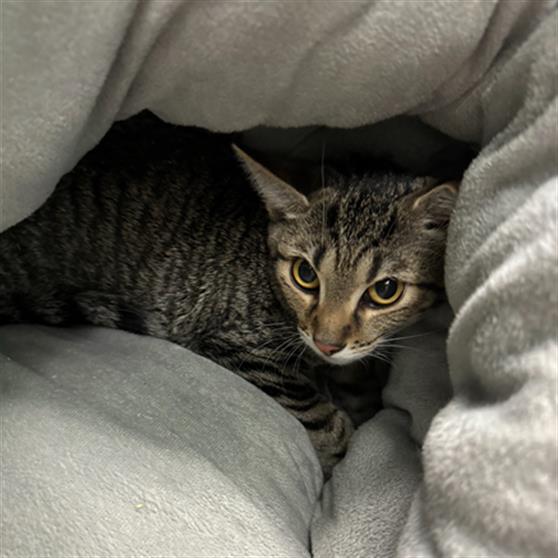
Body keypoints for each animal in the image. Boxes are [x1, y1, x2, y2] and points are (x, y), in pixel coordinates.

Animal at [0, 112, 460, 476]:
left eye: (385, 290)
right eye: (305, 275)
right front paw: (343, 451)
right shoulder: (236, 343)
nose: (327, 343)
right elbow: (321, 415)